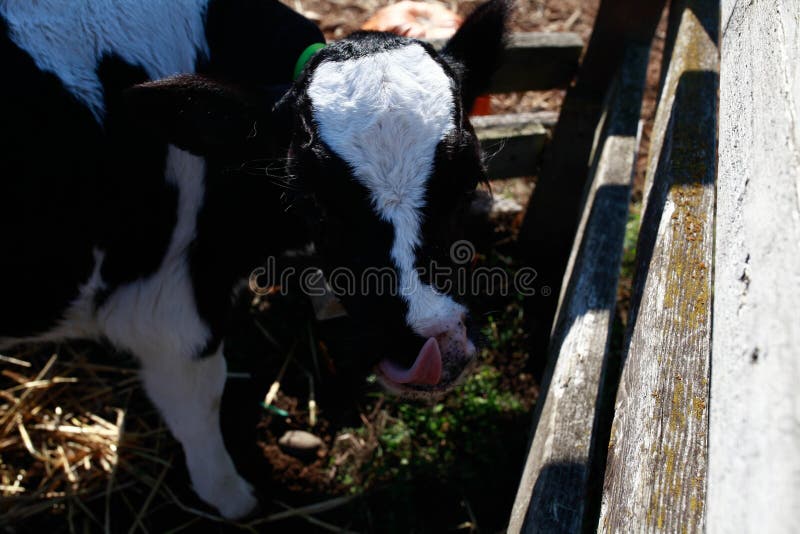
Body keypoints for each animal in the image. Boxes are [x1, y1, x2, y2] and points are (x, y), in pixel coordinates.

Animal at [0, 0, 510, 519]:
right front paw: (235, 499)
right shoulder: (172, 308)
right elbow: (199, 407)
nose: (436, 343)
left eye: (469, 180)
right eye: (312, 198)